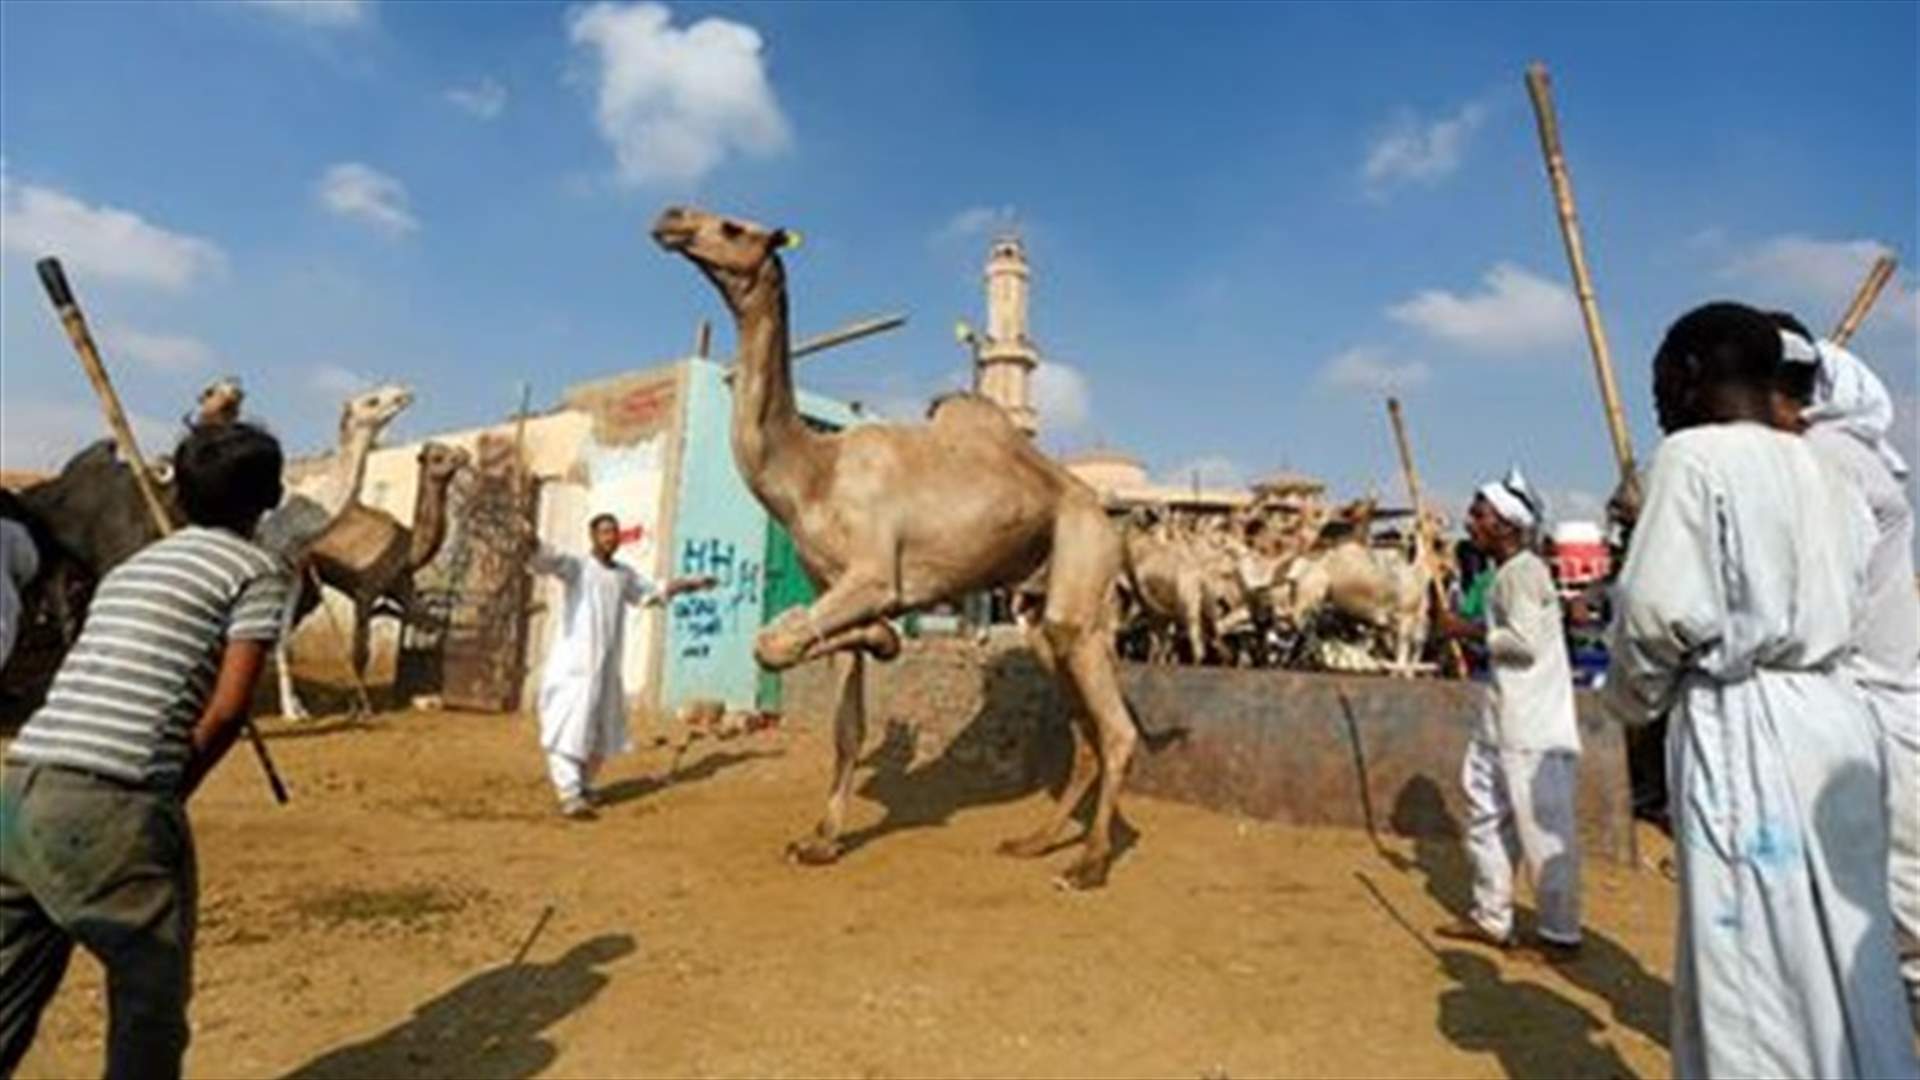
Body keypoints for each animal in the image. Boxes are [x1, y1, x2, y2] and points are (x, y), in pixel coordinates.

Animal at [298, 440, 471, 701]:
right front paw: (359, 703)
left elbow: (425, 620)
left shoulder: (402, 588)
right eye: (438, 457)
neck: (408, 553)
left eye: (453, 450)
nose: (463, 455)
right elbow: (361, 652)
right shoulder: (364, 592)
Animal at [653, 205, 1138, 889]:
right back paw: (1035, 841)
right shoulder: (832, 585)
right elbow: (843, 723)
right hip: (1042, 608)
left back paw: (1089, 864)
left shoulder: (871, 573)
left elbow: (775, 641)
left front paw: (880, 636)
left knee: (1116, 727)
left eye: (733, 227)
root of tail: (1102, 506)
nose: (671, 218)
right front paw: (821, 840)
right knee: (1083, 721)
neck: (813, 472)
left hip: (1084, 553)